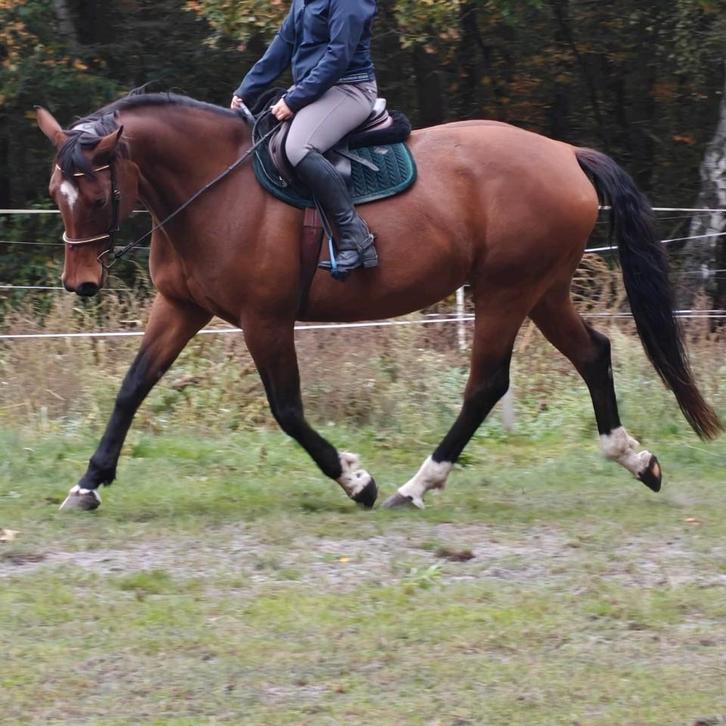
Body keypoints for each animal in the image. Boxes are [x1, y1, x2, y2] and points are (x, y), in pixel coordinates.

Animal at [35, 93, 722, 512]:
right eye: (54, 191)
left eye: (93, 196)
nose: (81, 284)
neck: (215, 190)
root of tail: (563, 153)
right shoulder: (180, 308)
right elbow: (132, 388)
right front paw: (88, 484)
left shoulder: (265, 320)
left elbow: (287, 409)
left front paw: (355, 480)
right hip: (542, 290)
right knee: (593, 354)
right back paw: (637, 460)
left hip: (506, 290)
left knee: (486, 384)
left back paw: (417, 485)